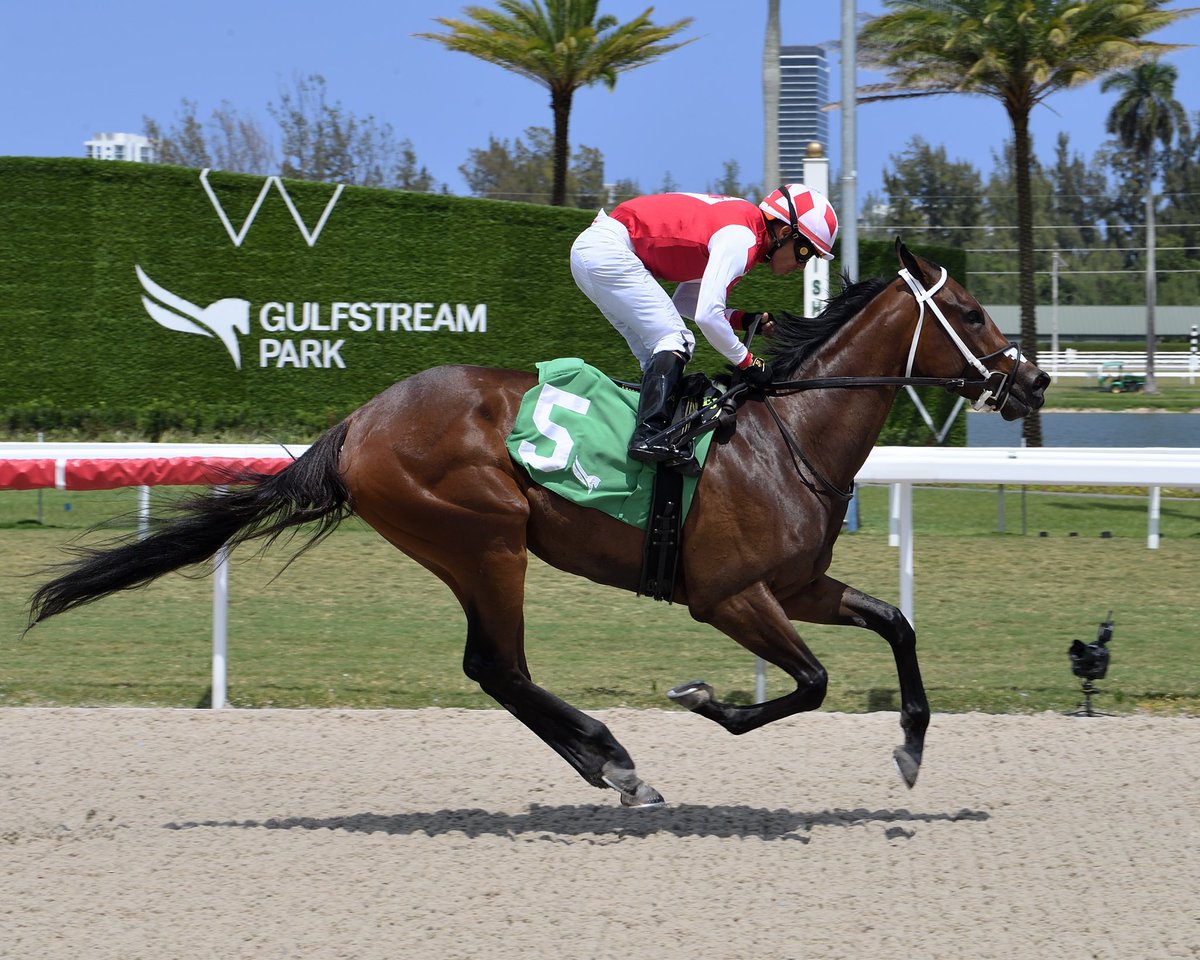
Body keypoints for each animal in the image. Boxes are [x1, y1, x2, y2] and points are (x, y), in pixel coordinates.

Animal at [23, 242, 1046, 811]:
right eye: (968, 311)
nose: (1032, 381)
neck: (783, 436)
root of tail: (357, 422)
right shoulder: (726, 596)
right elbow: (812, 684)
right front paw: (703, 700)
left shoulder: (795, 585)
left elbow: (895, 624)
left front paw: (910, 747)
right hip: (485, 538)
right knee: (497, 665)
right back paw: (617, 763)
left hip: (476, 546)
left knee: (497, 670)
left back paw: (611, 765)